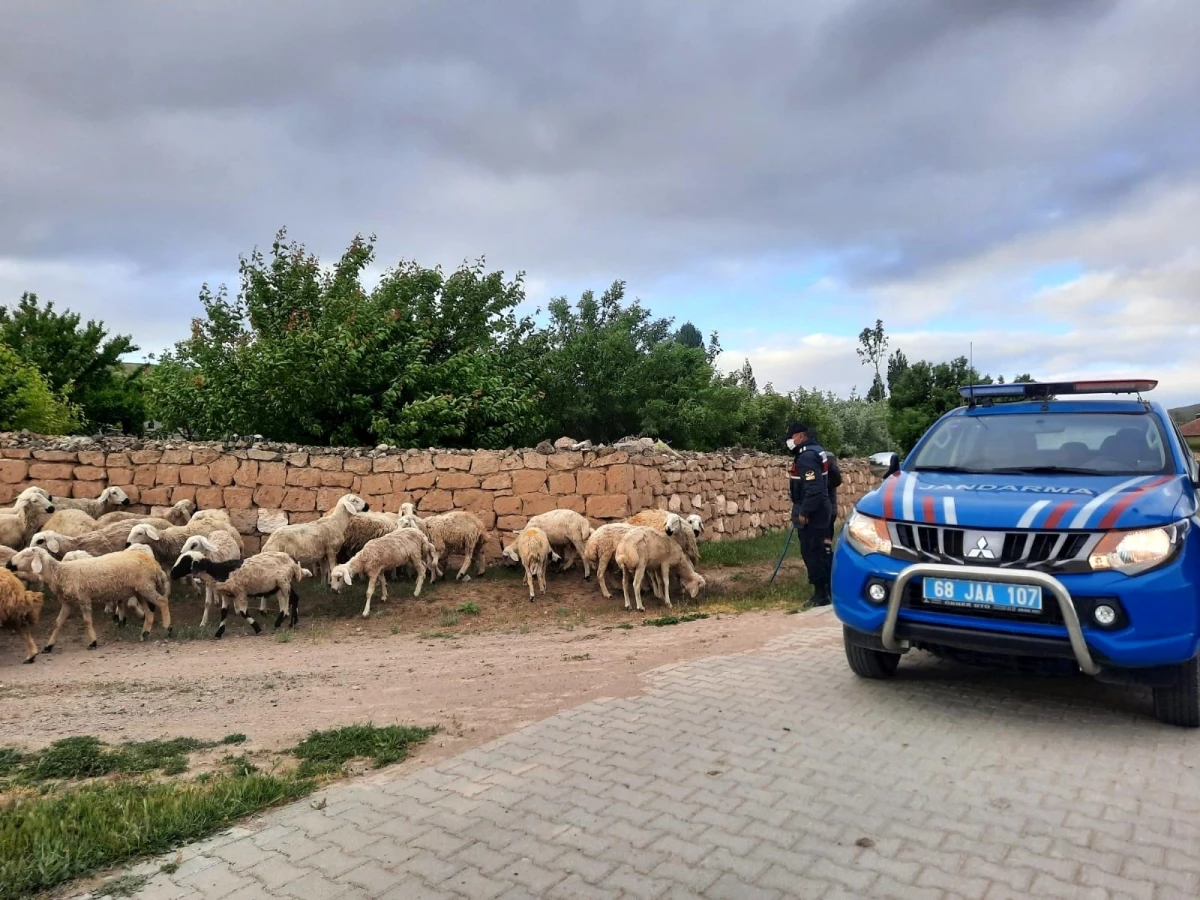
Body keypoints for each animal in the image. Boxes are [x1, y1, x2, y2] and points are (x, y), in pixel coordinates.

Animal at [5, 547, 171, 652]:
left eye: (26, 555)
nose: (8, 564)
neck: (61, 572)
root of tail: (155, 565)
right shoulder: (67, 602)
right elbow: (58, 623)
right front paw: (48, 646)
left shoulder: (83, 598)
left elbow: (87, 621)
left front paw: (93, 642)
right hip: (139, 590)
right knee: (149, 612)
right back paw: (145, 634)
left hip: (145, 586)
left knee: (162, 602)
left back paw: (167, 628)